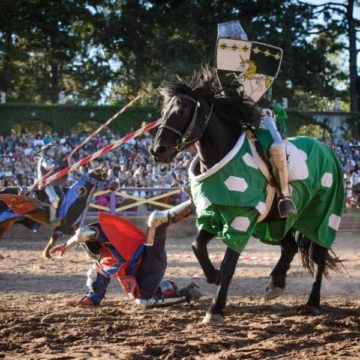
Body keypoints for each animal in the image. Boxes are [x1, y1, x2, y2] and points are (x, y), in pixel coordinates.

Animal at [150, 67, 344, 324]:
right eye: (164, 112)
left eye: (181, 110)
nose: (158, 150)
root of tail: (327, 150)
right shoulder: (214, 214)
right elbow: (197, 246)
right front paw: (213, 276)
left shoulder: (241, 218)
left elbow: (229, 263)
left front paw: (215, 309)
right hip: (275, 222)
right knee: (290, 247)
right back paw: (276, 283)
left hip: (322, 215)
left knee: (319, 256)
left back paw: (312, 302)